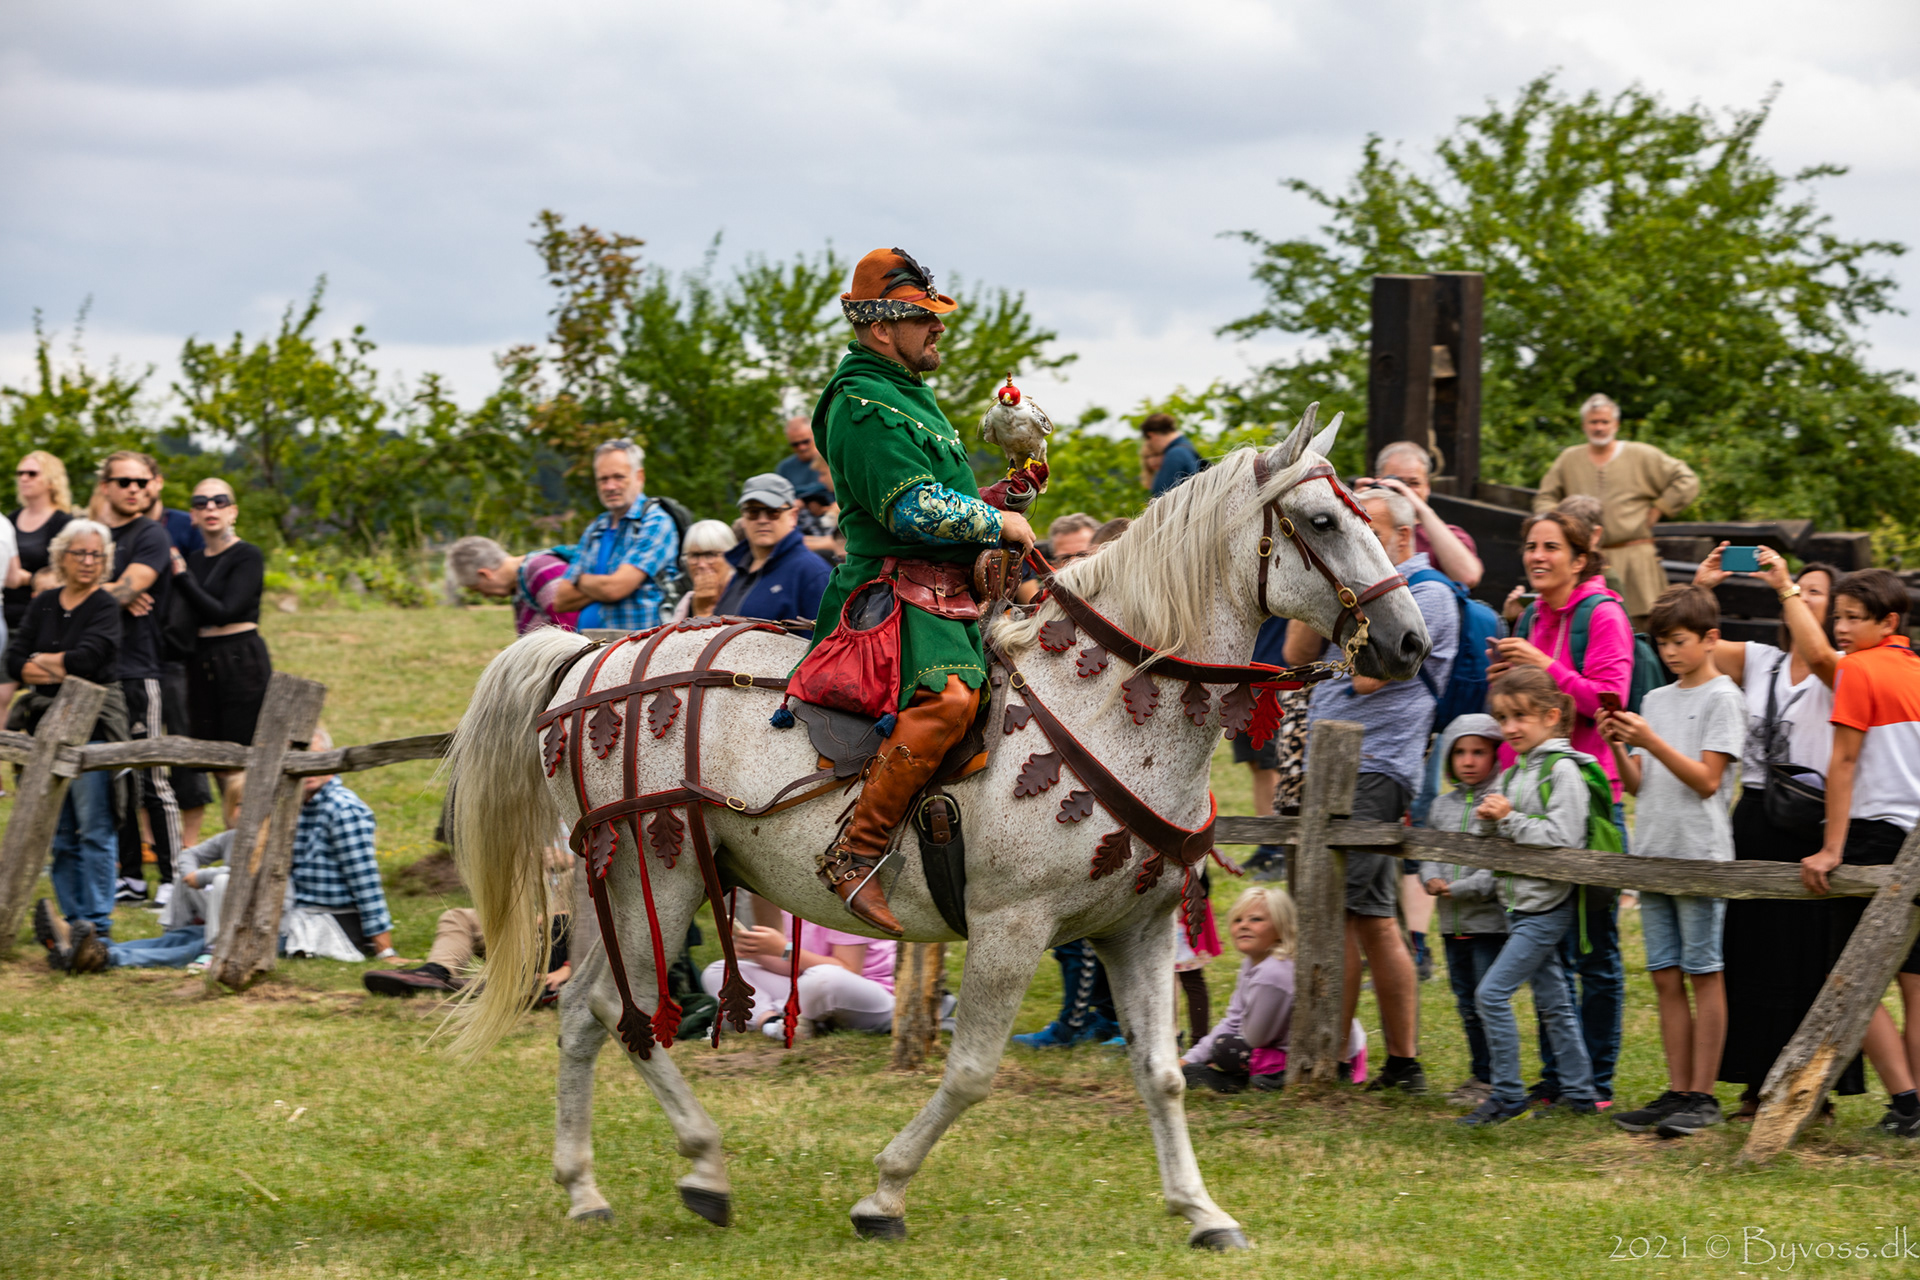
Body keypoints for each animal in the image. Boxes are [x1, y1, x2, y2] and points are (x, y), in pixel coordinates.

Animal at [445, 407, 1430, 1250]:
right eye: (1321, 521)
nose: (1411, 643)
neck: (1112, 700)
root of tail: (586, 658)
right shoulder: (1012, 928)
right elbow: (971, 1072)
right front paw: (883, 1194)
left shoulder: (1139, 927)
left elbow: (1162, 1071)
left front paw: (1202, 1211)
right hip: (659, 875)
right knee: (621, 1011)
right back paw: (704, 1169)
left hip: (619, 884)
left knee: (585, 1012)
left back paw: (586, 1188)